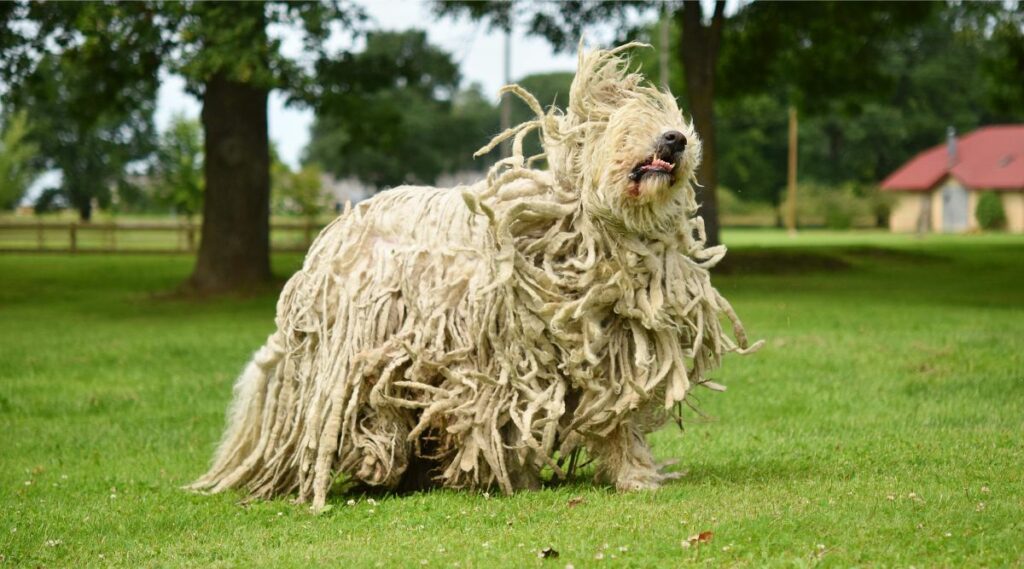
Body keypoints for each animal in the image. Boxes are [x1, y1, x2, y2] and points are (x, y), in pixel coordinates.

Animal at [192, 42, 761, 509]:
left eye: (673, 119)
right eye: (630, 125)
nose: (676, 139)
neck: (585, 231)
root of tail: (328, 239)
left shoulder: (614, 351)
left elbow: (613, 417)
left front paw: (635, 474)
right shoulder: (504, 357)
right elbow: (501, 417)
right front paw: (509, 477)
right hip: (357, 352)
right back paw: (372, 464)